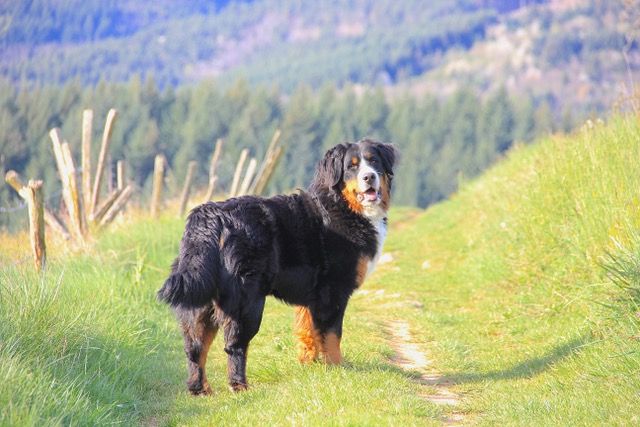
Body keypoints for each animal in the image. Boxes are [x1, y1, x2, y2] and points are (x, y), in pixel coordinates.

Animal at [156, 138, 396, 394]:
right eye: (352, 166)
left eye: (373, 161)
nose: (369, 177)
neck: (342, 206)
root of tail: (211, 216)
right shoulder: (333, 291)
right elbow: (332, 335)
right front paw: (337, 368)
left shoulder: (311, 298)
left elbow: (307, 332)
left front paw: (310, 365)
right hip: (246, 301)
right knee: (234, 345)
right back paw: (240, 386)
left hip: (200, 301)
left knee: (195, 347)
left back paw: (200, 390)